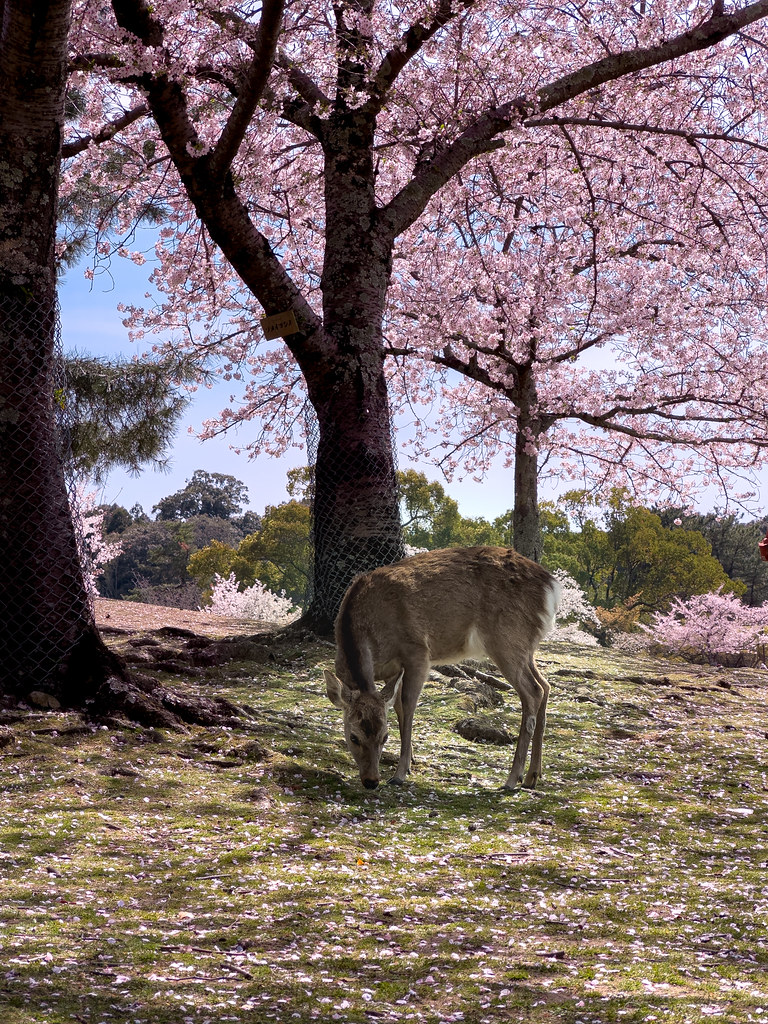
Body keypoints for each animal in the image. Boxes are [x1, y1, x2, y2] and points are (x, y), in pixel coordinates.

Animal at [323, 545, 561, 792]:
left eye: (385, 736)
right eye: (353, 737)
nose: (371, 781)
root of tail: (552, 588)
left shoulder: (417, 651)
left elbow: (408, 706)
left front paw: (400, 772)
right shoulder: (391, 671)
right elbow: (397, 707)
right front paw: (410, 760)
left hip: (507, 639)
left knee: (533, 691)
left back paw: (513, 779)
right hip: (525, 646)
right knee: (545, 685)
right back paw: (533, 775)